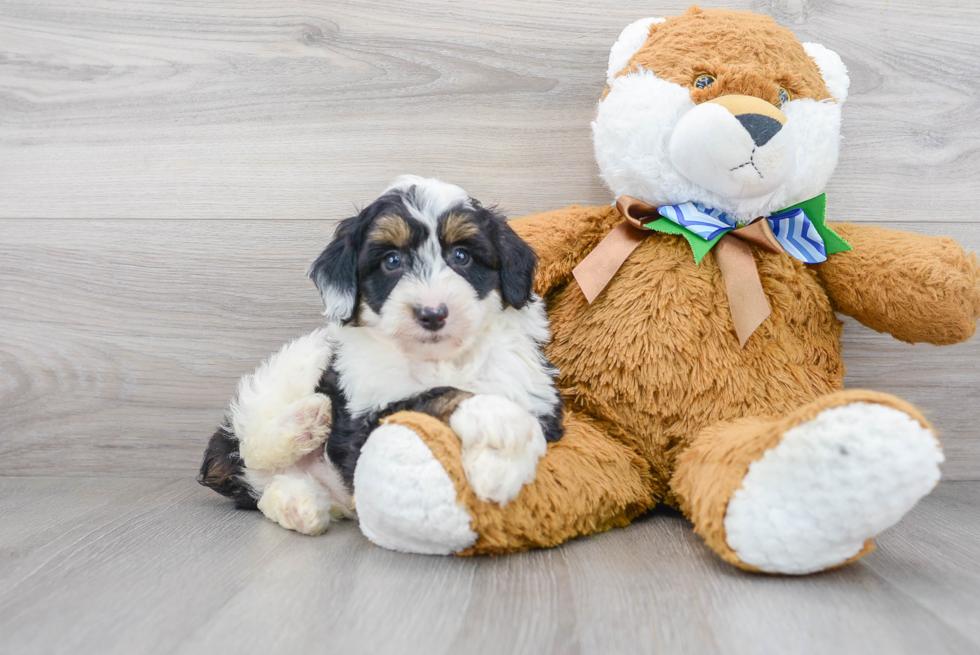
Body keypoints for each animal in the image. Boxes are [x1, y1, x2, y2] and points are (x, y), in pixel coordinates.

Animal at [199, 177, 564, 536]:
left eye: (462, 256)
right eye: (391, 261)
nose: (432, 314)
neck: (440, 357)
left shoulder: (532, 390)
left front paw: (499, 467)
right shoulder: (363, 419)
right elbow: (435, 396)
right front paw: (498, 420)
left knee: (268, 490)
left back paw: (301, 504)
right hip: (289, 370)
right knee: (247, 444)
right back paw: (305, 422)